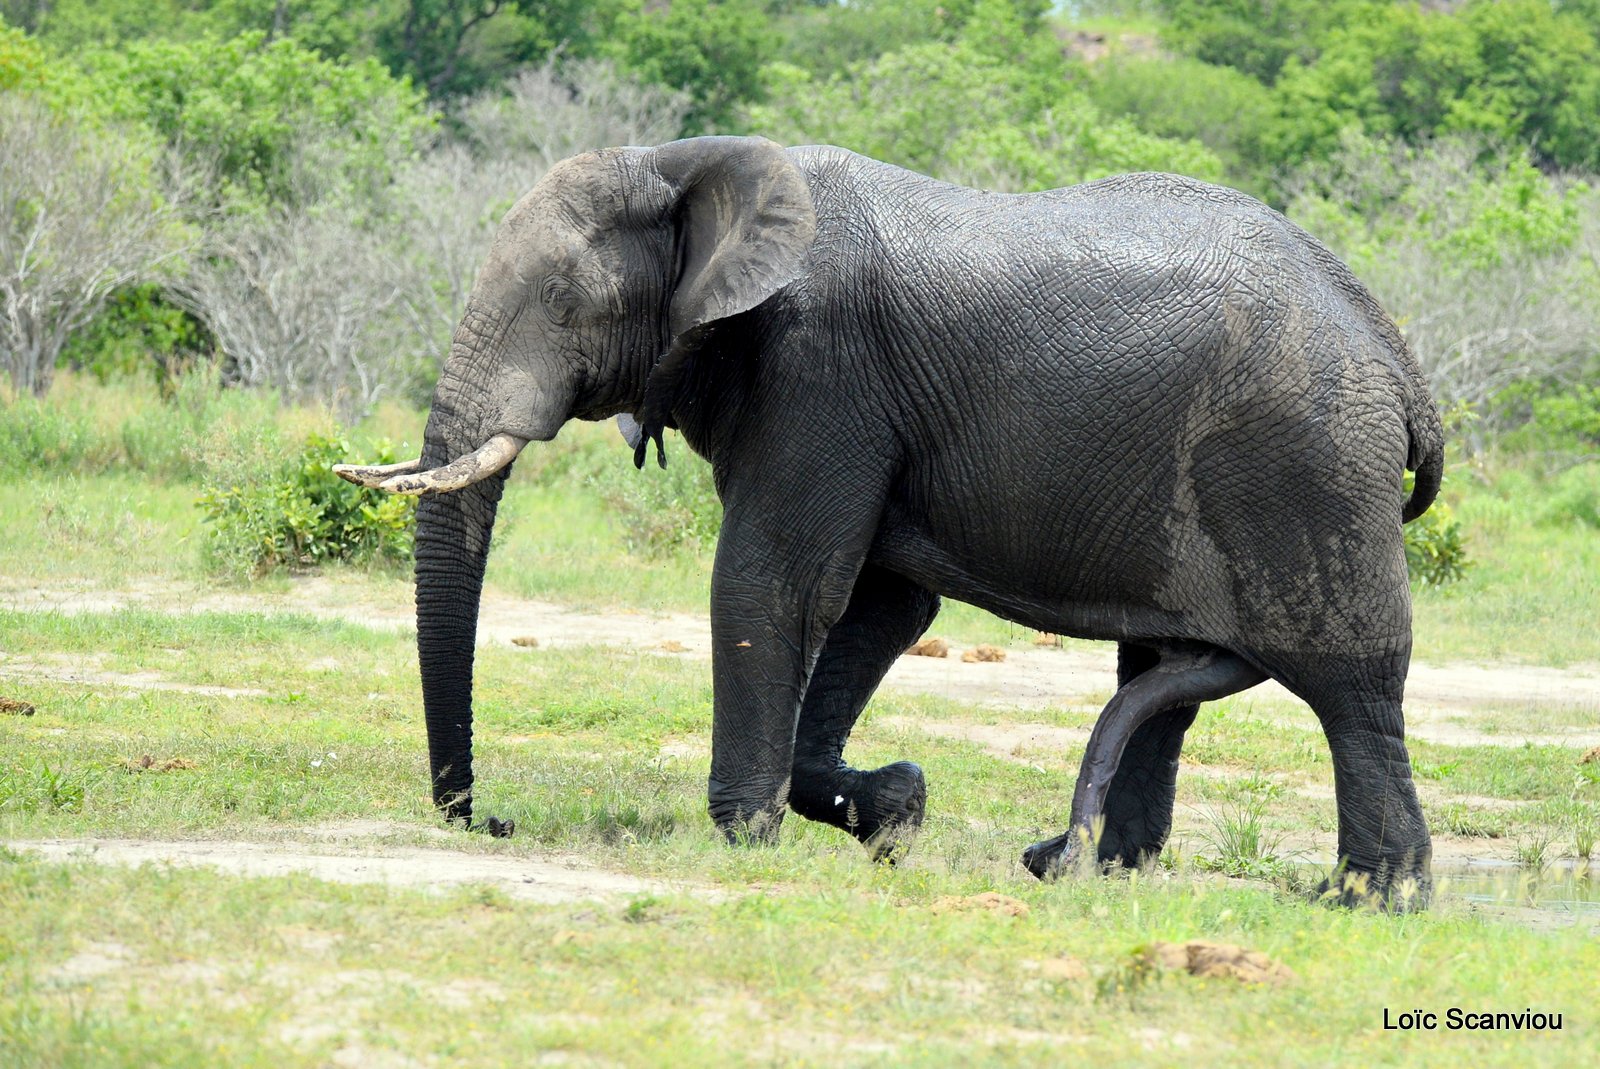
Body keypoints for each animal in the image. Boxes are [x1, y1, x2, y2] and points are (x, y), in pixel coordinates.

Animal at [340, 131, 1452, 902]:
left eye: (563, 304)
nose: (488, 821)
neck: (683, 158)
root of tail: (1403, 366)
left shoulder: (818, 368)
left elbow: (777, 585)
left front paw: (743, 837)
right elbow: (878, 606)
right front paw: (896, 811)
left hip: (1303, 466)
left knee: (1353, 685)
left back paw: (1369, 901)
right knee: (1159, 676)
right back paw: (1095, 871)